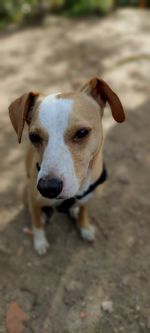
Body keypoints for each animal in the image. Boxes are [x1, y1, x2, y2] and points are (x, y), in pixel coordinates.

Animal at [8, 77, 125, 254]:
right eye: (33, 137)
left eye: (82, 132)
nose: (48, 188)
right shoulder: (34, 199)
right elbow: (37, 223)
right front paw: (40, 241)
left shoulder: (89, 196)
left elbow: (84, 211)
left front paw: (84, 227)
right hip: (23, 190)